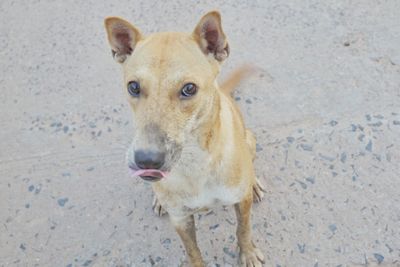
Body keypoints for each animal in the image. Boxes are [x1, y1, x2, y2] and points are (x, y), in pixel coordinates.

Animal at [104, 11, 266, 267]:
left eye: (189, 88)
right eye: (133, 87)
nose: (146, 160)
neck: (195, 164)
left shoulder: (241, 202)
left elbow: (243, 229)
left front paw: (248, 253)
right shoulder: (180, 218)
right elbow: (192, 251)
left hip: (250, 140)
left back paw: (255, 183)